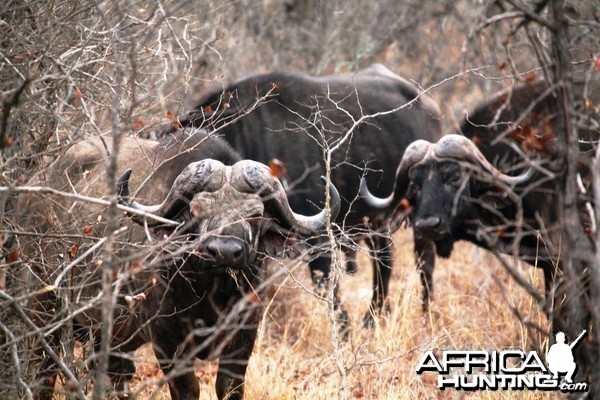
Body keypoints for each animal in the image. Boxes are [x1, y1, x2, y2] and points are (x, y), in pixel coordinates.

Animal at [11, 130, 338, 398]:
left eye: (255, 215)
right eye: (196, 211)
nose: (224, 252)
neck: (212, 294)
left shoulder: (245, 333)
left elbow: (229, 387)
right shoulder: (167, 340)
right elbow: (188, 388)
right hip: (44, 311)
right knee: (44, 373)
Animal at [168, 63, 440, 324]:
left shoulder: (319, 239)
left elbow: (329, 292)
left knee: (424, 260)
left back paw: (424, 313)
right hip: (374, 221)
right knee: (384, 260)